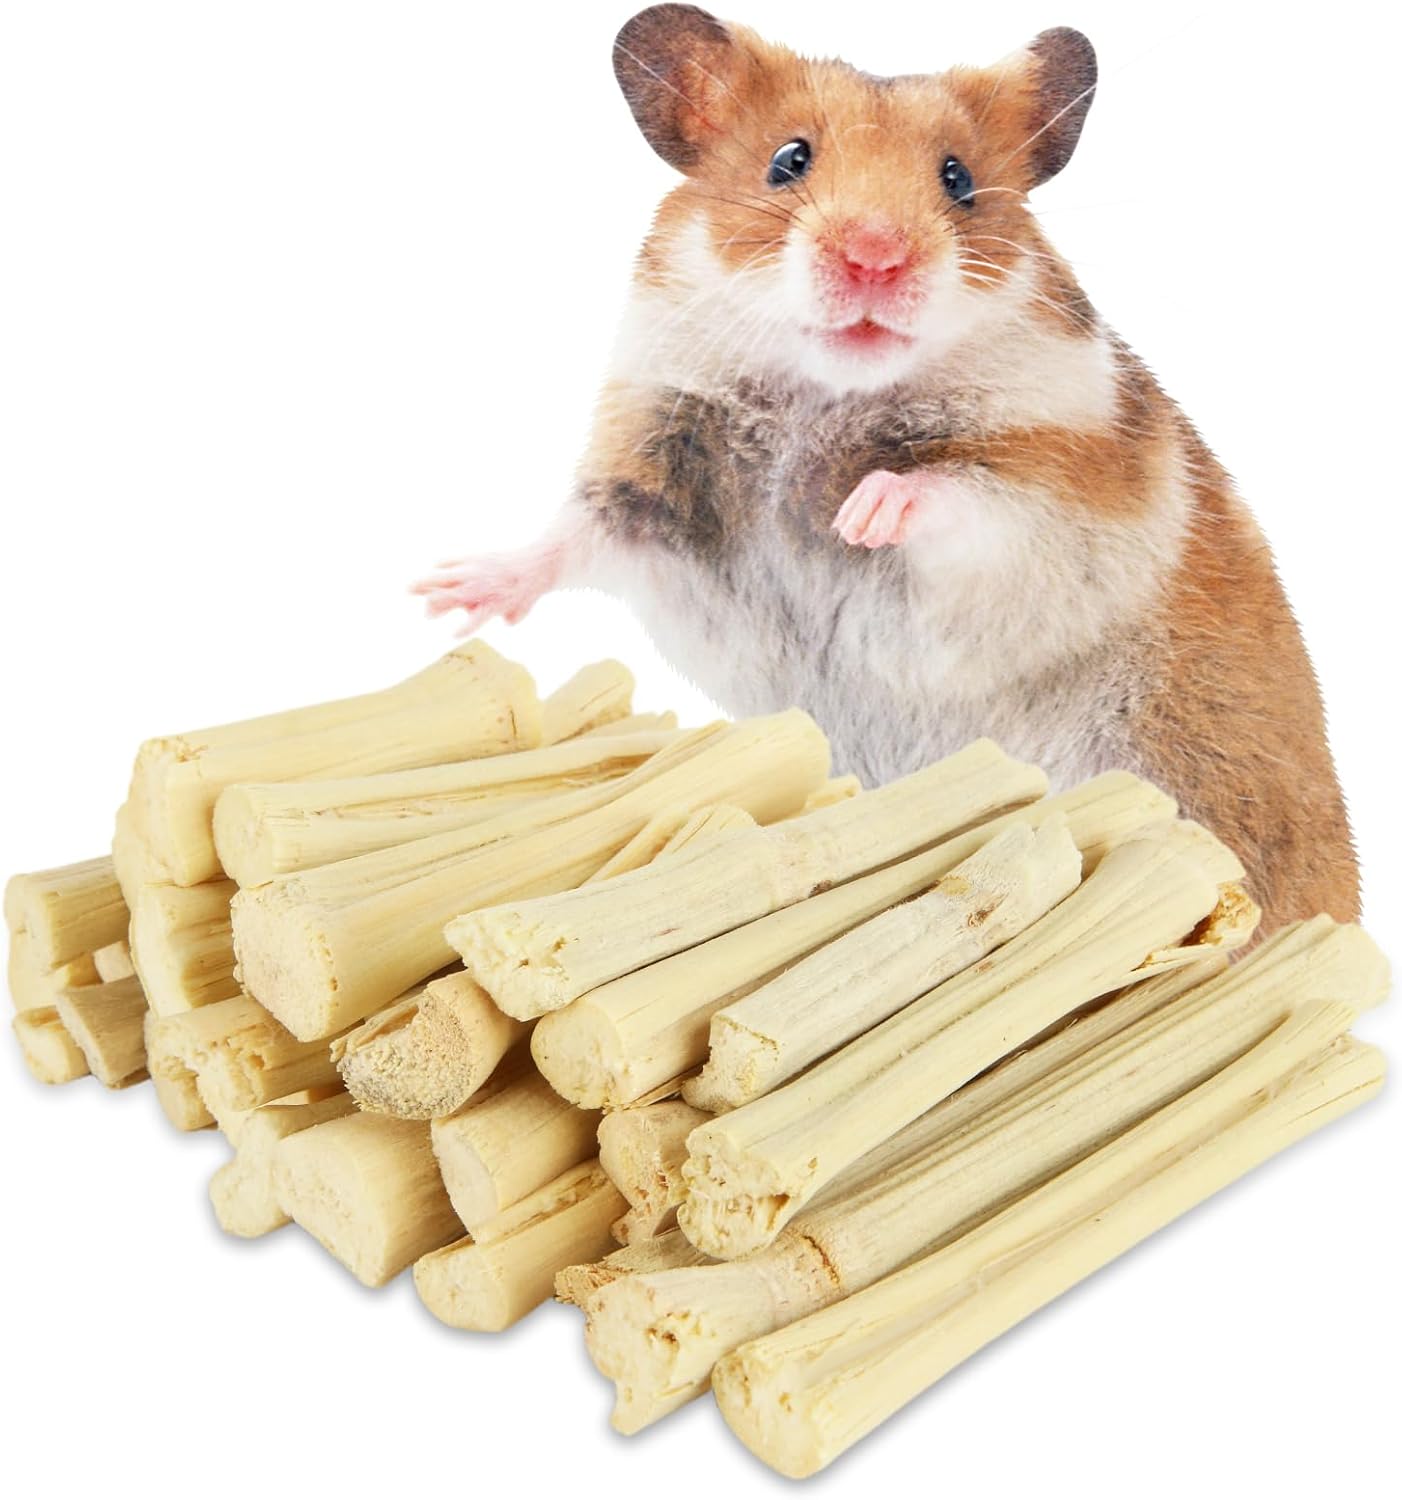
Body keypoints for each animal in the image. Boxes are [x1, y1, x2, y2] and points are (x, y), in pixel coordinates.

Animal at [414, 4, 1359, 930]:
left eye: (958, 179)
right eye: (788, 161)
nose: (875, 257)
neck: (826, 393)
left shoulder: (1059, 503)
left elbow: (956, 494)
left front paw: (861, 513)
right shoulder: (651, 481)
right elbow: (571, 539)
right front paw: (444, 597)